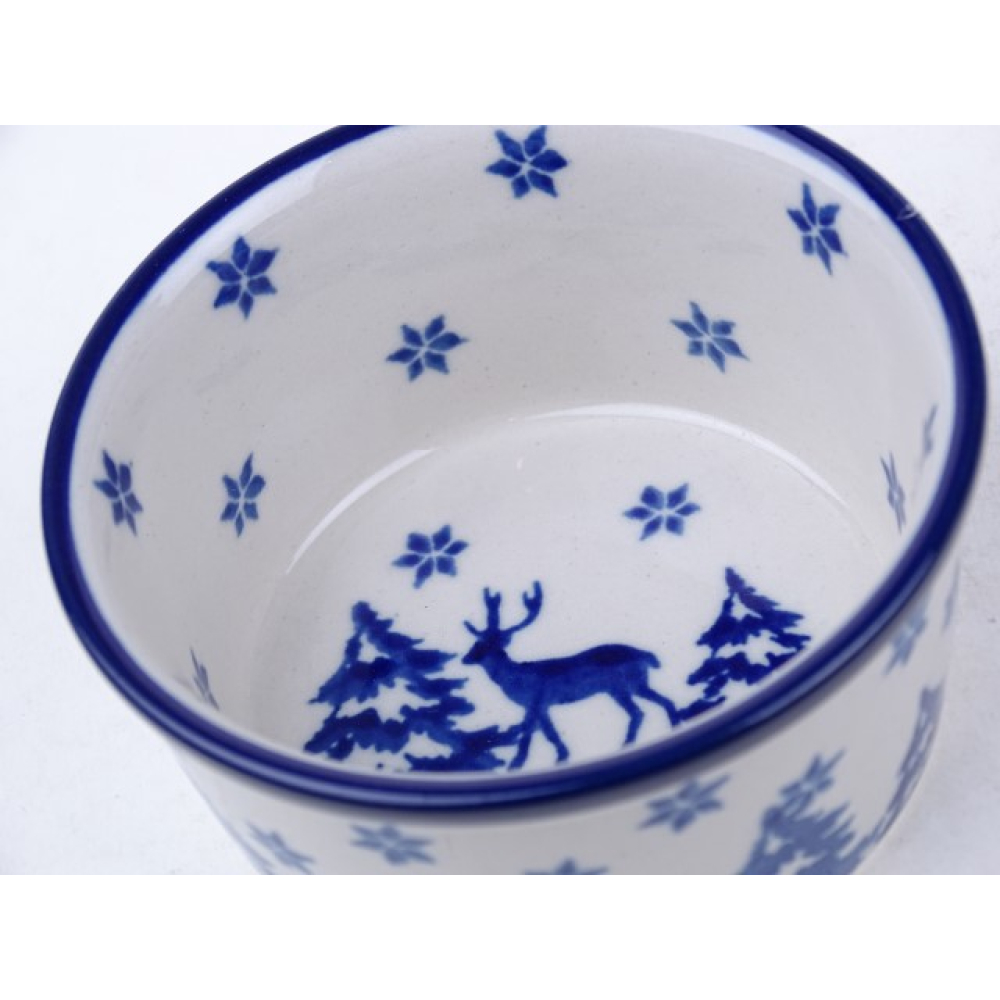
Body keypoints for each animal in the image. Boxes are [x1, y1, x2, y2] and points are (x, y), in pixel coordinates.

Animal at [463, 582, 680, 770]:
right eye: (475, 643)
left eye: (483, 645)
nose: (466, 658)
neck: (517, 678)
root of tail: (646, 655)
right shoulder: (542, 706)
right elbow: (549, 732)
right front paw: (562, 756)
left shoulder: (536, 702)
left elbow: (530, 734)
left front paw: (516, 764)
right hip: (634, 684)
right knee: (657, 703)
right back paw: (671, 724)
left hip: (621, 686)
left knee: (638, 711)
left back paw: (629, 742)